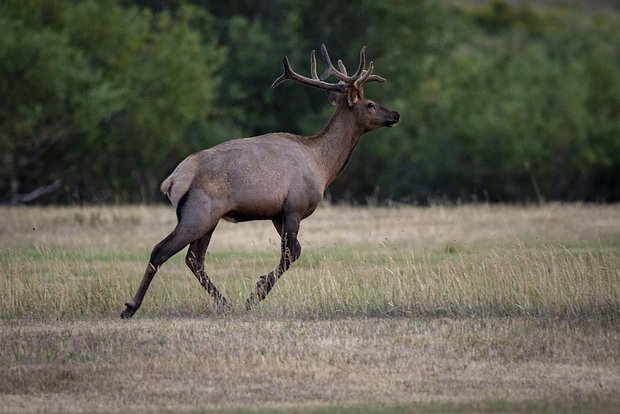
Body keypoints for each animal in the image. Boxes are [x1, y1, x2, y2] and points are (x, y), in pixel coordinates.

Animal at [121, 43, 402, 318]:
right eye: (371, 104)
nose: (396, 114)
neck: (323, 166)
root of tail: (171, 181)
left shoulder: (277, 214)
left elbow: (293, 252)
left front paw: (255, 290)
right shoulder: (295, 206)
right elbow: (291, 254)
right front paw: (255, 294)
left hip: (208, 219)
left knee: (194, 259)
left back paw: (224, 303)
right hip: (197, 214)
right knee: (161, 250)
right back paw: (131, 307)